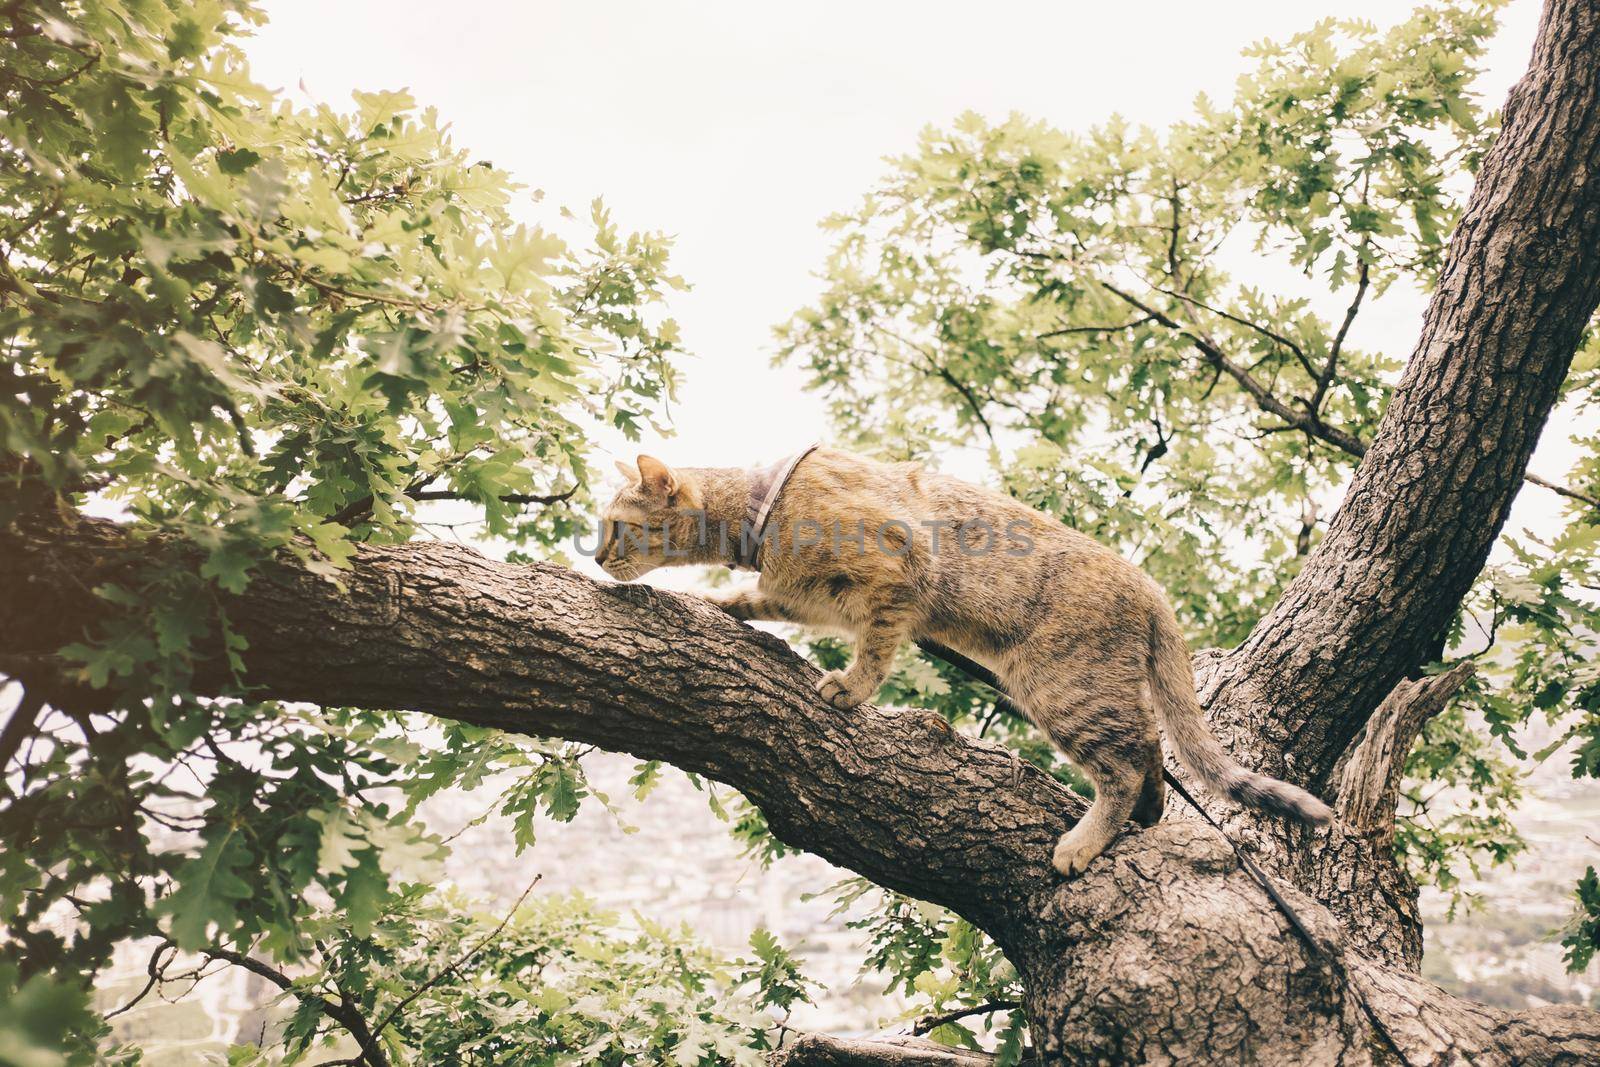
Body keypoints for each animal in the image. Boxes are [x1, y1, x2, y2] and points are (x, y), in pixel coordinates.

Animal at [595, 451, 1331, 876]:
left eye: (616, 526)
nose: (596, 556)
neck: (757, 514)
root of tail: (1150, 589)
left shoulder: (896, 573)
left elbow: (876, 647)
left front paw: (850, 688)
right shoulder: (810, 597)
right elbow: (755, 600)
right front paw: (714, 601)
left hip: (1060, 685)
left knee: (1124, 765)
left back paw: (1083, 841)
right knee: (1149, 748)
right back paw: (1147, 812)